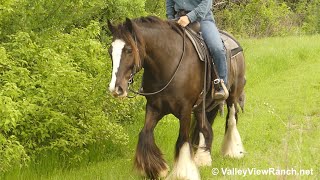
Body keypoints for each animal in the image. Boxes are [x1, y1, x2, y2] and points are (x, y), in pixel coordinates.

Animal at [107, 16, 245, 179]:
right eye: (110, 51)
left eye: (128, 50)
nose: (116, 88)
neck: (167, 64)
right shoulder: (154, 107)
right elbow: (145, 133)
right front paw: (155, 169)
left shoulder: (185, 110)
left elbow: (183, 140)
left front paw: (184, 173)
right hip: (200, 108)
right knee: (206, 129)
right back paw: (203, 159)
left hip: (232, 96)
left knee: (231, 119)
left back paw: (233, 151)